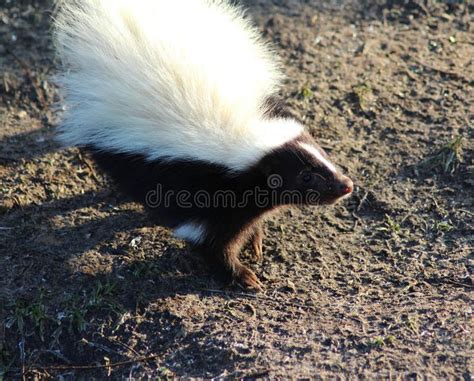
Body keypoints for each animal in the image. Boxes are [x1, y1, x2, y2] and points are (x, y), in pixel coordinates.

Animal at [53, 0, 354, 290]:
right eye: (305, 177)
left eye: (323, 155)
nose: (346, 185)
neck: (241, 130)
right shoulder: (199, 187)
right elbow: (210, 240)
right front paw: (241, 276)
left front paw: (254, 237)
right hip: (120, 153)